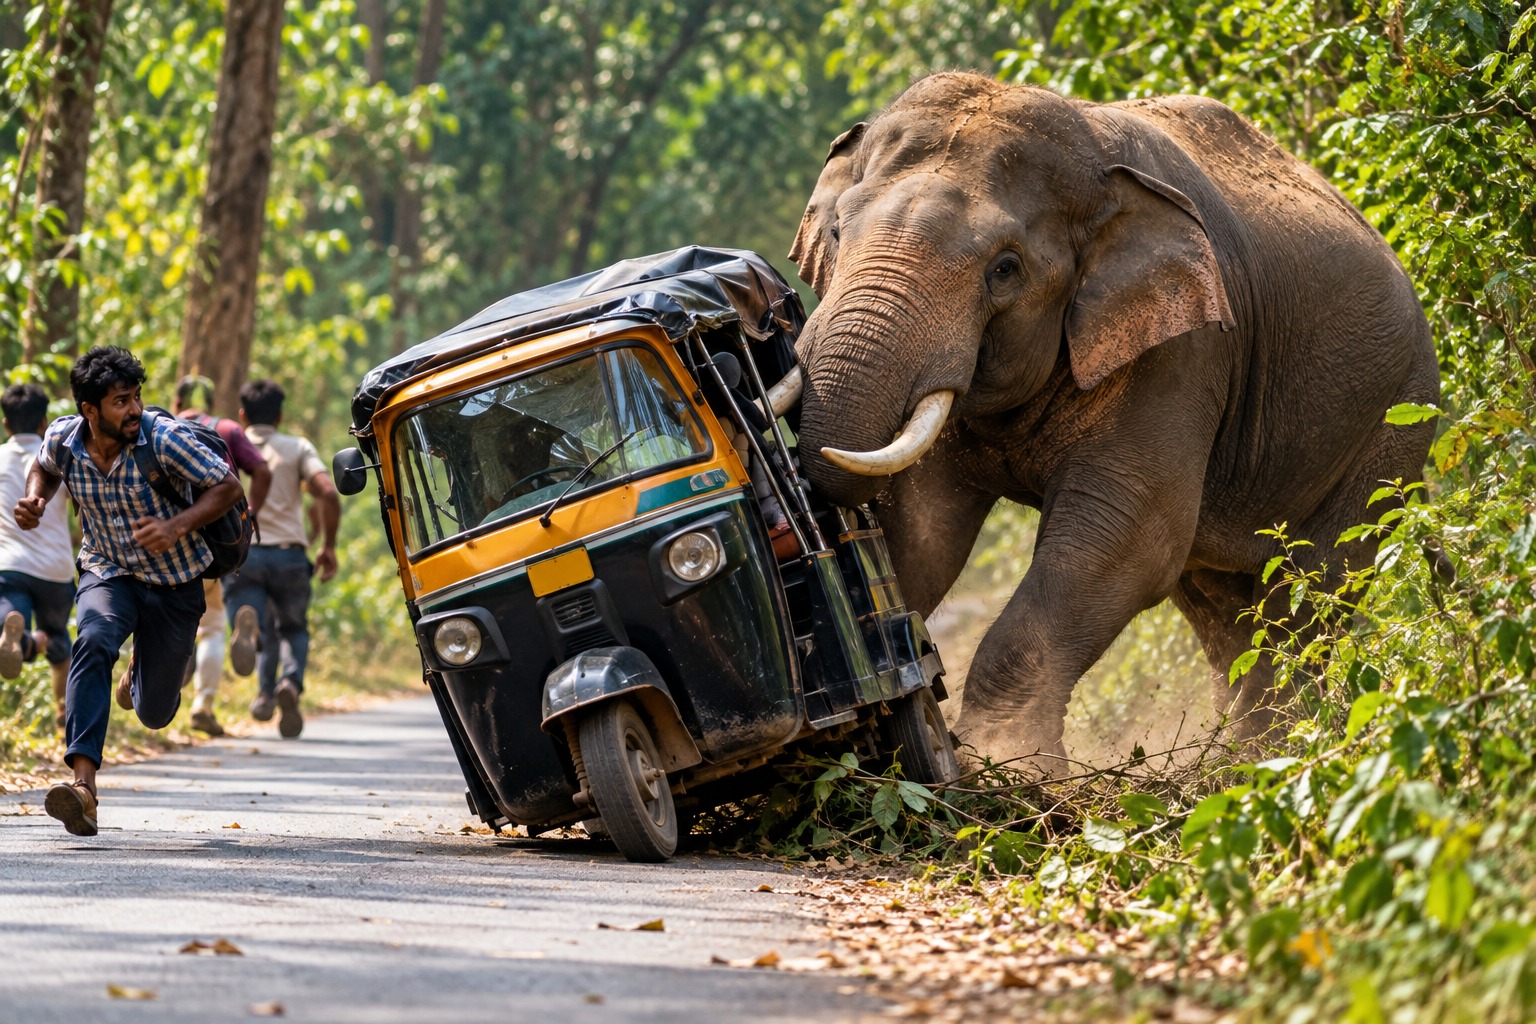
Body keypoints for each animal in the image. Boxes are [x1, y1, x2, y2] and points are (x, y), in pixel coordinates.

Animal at [785, 71, 1439, 770]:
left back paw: (1274, 754)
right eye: (835, 235)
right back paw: (1239, 758)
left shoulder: (1184, 347)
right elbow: (920, 526)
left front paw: (1010, 764)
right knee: (1221, 607)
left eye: (1005, 269)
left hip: (1394, 418)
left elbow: (1129, 538)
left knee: (1310, 592)